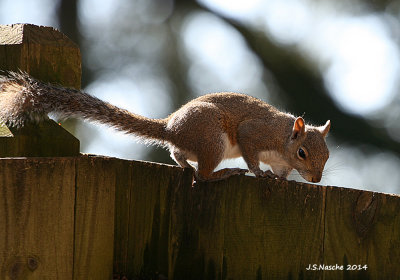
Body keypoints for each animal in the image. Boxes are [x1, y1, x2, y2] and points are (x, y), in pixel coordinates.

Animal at [0, 71, 332, 183]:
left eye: (327, 156)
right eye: (303, 153)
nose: (316, 180)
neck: (283, 141)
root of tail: (171, 129)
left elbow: (282, 173)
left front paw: (282, 180)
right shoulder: (254, 134)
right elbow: (251, 153)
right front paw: (260, 173)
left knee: (180, 157)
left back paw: (186, 164)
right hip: (213, 141)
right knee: (202, 176)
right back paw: (223, 173)